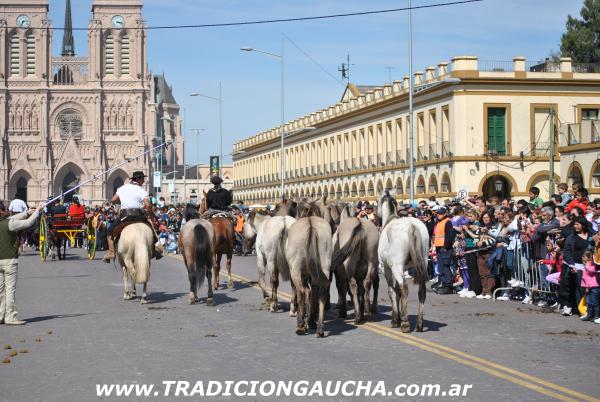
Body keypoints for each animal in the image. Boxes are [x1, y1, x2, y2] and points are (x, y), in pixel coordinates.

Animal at [378, 190, 428, 332]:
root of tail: (412, 225)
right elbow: (397, 291)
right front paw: (398, 317)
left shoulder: (386, 268)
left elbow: (392, 291)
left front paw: (395, 320)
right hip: (423, 263)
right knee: (421, 290)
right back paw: (419, 324)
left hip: (396, 267)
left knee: (404, 287)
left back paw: (405, 324)